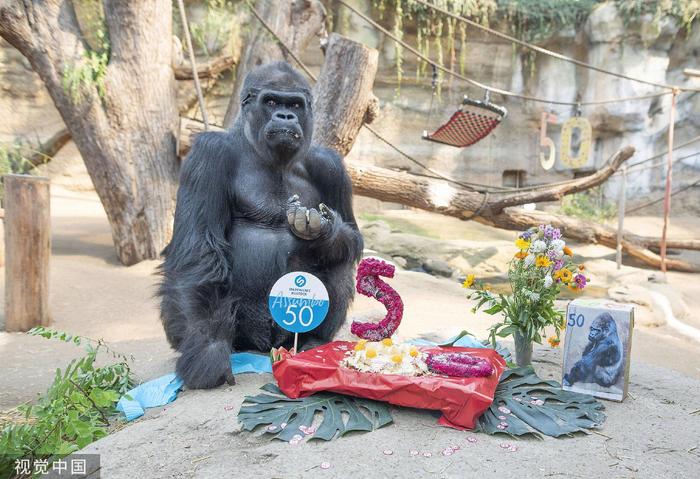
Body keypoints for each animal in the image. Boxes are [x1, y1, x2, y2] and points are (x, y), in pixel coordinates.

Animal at [159, 61, 364, 390]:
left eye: (295, 105)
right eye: (271, 102)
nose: (285, 117)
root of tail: (266, 345)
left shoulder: (331, 166)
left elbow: (353, 237)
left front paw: (323, 232)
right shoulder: (209, 153)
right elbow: (200, 248)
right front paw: (209, 353)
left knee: (339, 262)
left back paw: (313, 342)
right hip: (244, 334)